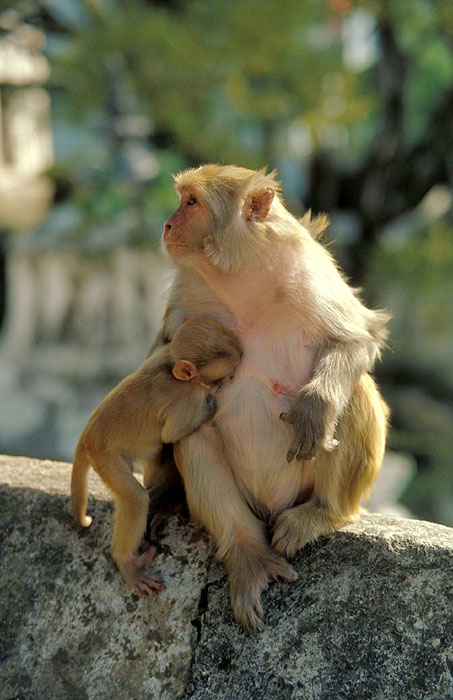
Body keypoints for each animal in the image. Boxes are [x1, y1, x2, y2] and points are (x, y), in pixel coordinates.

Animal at [71, 317, 242, 594]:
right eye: (228, 370)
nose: (232, 375)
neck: (171, 367)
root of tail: (87, 435)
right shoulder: (187, 400)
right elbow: (172, 433)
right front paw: (211, 402)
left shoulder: (163, 354)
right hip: (106, 458)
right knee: (136, 499)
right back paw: (126, 562)